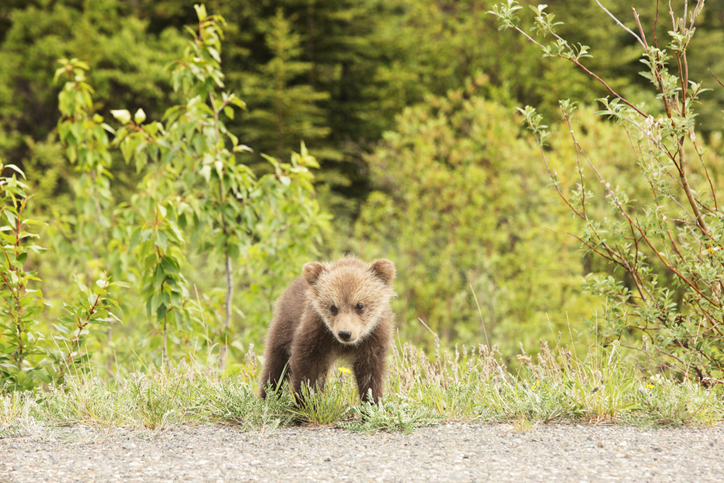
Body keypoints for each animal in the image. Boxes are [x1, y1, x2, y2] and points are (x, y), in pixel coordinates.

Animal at [258, 256, 396, 404]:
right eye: (333, 307)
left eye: (360, 306)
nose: (345, 333)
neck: (342, 345)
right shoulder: (316, 334)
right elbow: (306, 368)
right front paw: (306, 401)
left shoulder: (372, 339)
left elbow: (370, 374)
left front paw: (372, 402)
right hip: (285, 325)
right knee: (276, 364)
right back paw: (267, 396)